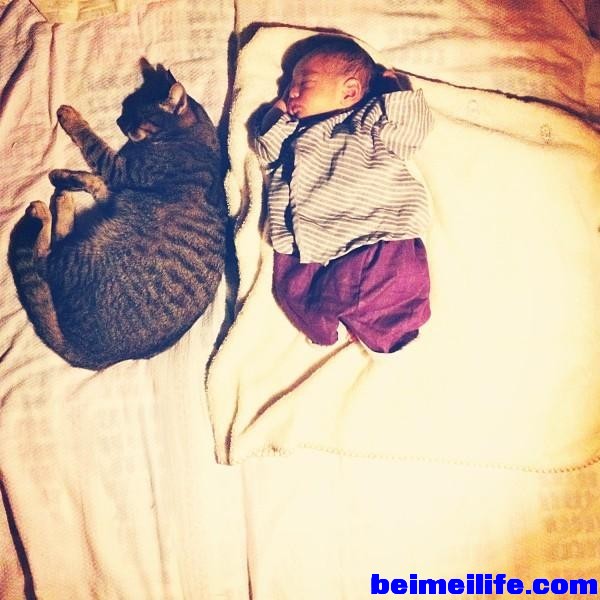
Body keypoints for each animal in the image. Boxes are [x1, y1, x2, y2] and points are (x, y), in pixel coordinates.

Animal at [8, 59, 228, 370]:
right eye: (126, 109)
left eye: (134, 114)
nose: (119, 122)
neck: (190, 135)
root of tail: (91, 356)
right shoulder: (118, 184)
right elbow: (98, 183)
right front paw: (72, 178)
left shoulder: (121, 169)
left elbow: (92, 142)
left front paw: (71, 118)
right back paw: (63, 195)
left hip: (78, 256)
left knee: (43, 257)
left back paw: (47, 209)